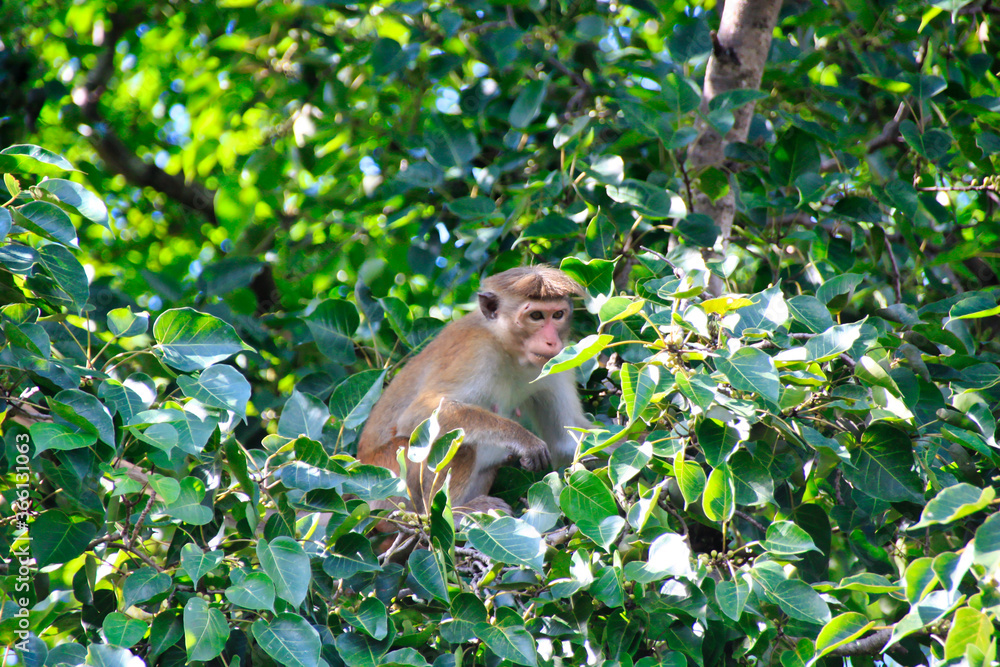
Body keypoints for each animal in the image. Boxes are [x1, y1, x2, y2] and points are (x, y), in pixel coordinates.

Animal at [357, 265, 591, 517]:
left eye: (558, 315)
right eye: (536, 316)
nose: (551, 342)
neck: (508, 350)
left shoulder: (558, 363)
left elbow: (566, 437)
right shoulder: (474, 351)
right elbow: (419, 414)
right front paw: (524, 439)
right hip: (388, 479)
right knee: (455, 441)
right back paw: (454, 514)